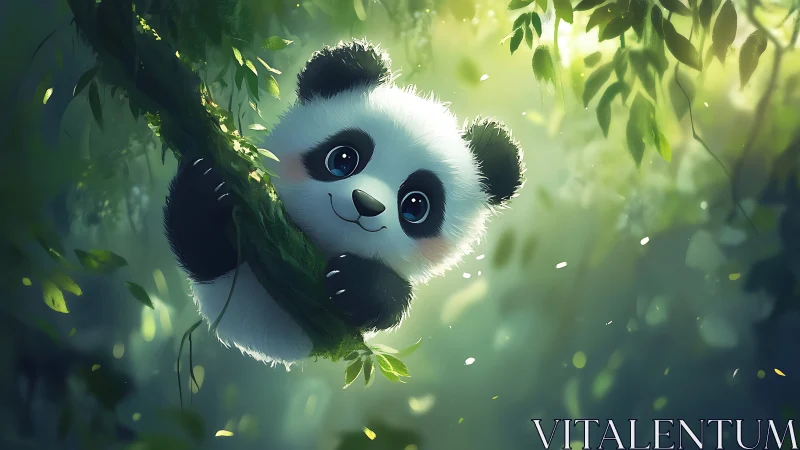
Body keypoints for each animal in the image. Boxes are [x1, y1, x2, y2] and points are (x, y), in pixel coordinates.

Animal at [164, 39, 525, 367]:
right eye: (343, 159)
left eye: (415, 205)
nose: (365, 204)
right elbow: (203, 250)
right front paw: (204, 188)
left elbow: (385, 303)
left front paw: (355, 283)